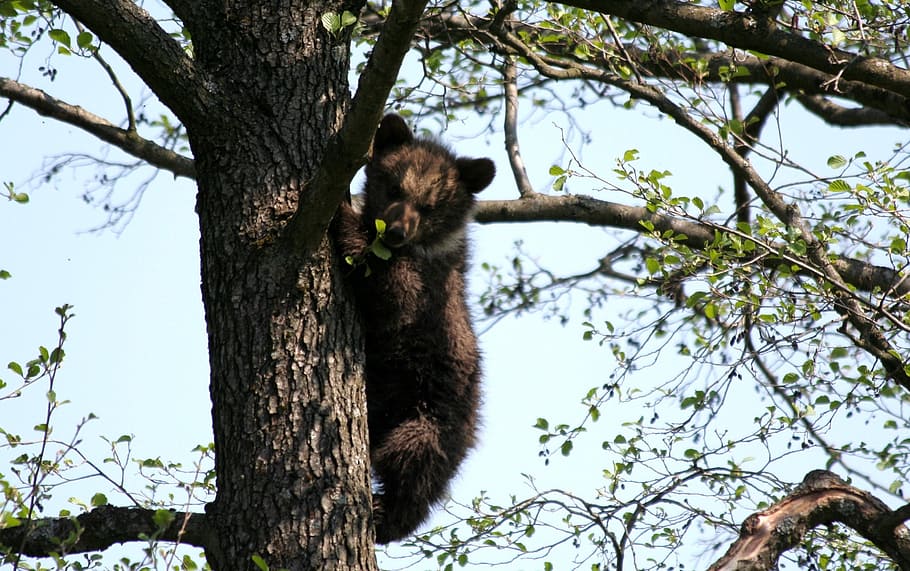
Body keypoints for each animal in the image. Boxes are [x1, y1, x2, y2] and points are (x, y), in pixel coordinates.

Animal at [333, 113, 495, 544]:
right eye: (395, 187)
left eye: (429, 205)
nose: (395, 231)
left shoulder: (428, 289)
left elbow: (392, 292)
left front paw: (343, 216)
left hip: (434, 412)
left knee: (413, 463)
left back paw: (389, 514)